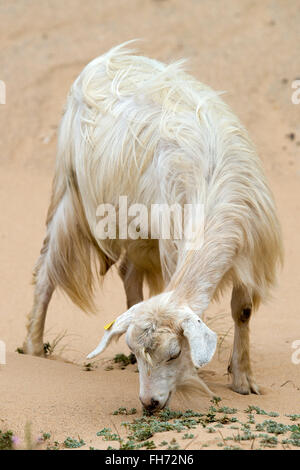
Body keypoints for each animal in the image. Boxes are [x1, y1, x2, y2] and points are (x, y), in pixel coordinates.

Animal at [22, 43, 282, 412]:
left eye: (174, 353)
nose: (150, 402)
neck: (211, 184)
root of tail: (102, 59)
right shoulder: (172, 243)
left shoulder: (249, 252)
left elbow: (242, 311)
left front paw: (243, 380)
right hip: (69, 193)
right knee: (47, 267)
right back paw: (33, 346)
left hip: (137, 227)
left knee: (128, 273)